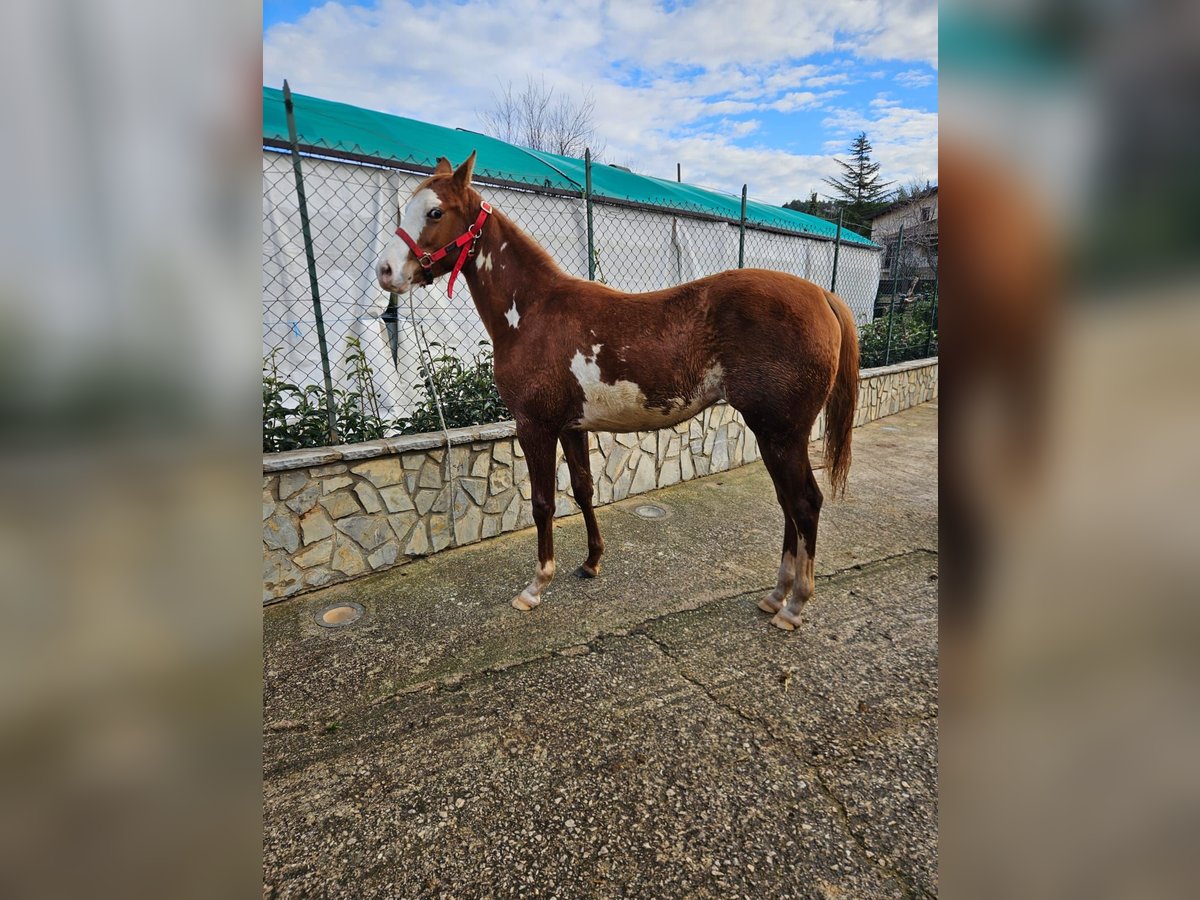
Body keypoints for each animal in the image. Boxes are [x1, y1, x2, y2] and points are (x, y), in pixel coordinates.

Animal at [374, 154, 854, 628]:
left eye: (435, 212)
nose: (385, 271)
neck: (533, 311)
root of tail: (821, 295)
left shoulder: (535, 426)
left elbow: (543, 503)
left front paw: (535, 587)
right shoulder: (570, 426)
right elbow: (584, 489)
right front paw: (591, 562)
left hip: (780, 433)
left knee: (805, 503)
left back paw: (794, 606)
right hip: (774, 436)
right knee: (788, 503)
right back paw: (776, 596)